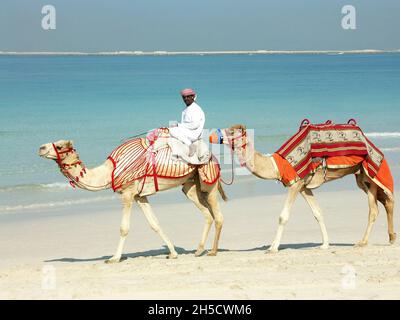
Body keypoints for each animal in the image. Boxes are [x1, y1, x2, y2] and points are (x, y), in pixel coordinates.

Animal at [38, 138, 227, 262]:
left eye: (59, 145)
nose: (40, 148)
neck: (109, 173)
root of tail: (213, 157)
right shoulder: (140, 195)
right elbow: (155, 224)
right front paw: (173, 253)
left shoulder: (128, 193)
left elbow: (124, 228)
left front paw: (114, 258)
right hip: (190, 185)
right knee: (207, 214)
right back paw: (199, 250)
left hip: (209, 182)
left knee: (218, 216)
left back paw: (213, 251)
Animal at [214, 125, 396, 252]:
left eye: (231, 131)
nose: (215, 135)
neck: (277, 165)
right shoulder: (304, 187)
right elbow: (318, 213)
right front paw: (325, 244)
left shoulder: (295, 184)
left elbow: (283, 216)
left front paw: (273, 248)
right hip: (362, 177)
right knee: (381, 205)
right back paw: (383, 239)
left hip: (371, 173)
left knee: (382, 204)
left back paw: (371, 241)